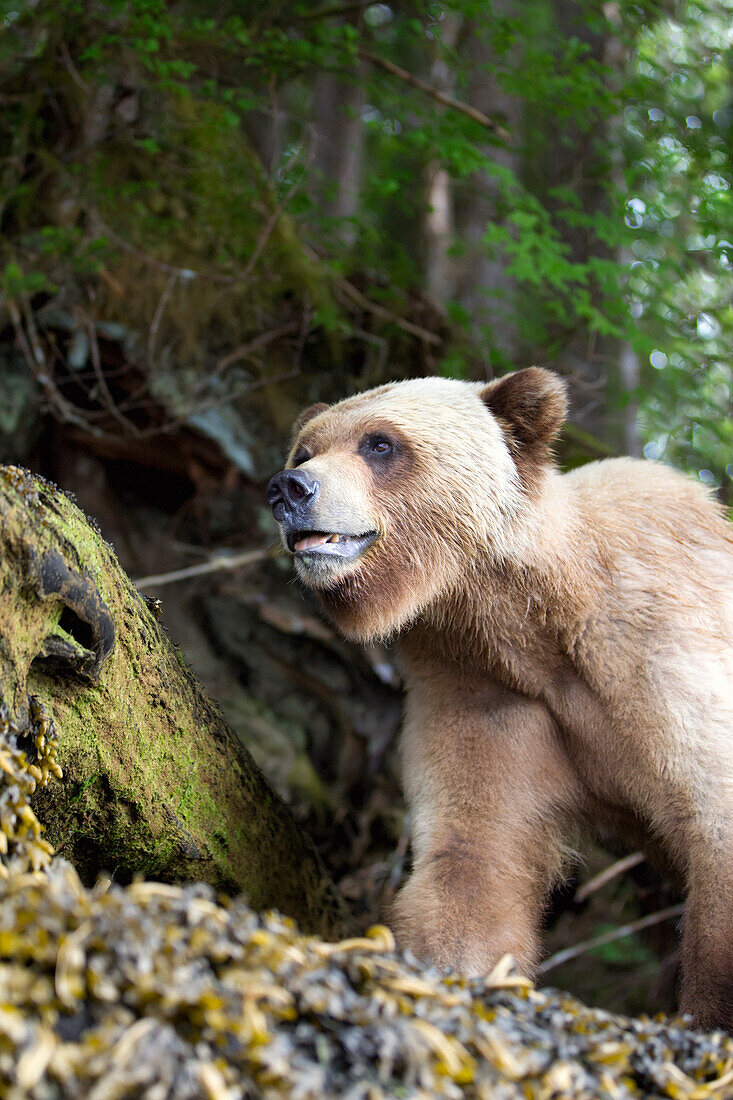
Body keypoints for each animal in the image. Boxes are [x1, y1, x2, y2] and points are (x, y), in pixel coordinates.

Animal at [267, 369, 730, 1029]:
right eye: (304, 450)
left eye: (379, 443)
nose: (289, 488)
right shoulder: (483, 690)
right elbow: (475, 847)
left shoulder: (654, 647)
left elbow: (714, 818)